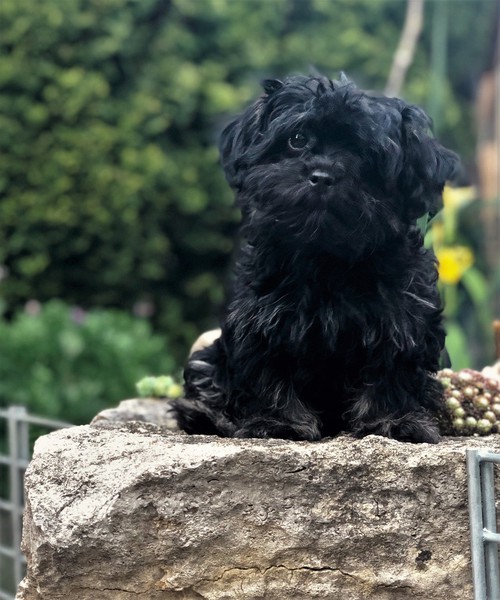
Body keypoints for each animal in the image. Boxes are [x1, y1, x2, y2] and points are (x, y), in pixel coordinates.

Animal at [173, 73, 459, 443]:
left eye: (366, 153)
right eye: (297, 139)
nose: (322, 175)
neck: (327, 256)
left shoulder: (404, 317)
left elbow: (393, 369)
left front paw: (393, 420)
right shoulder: (262, 321)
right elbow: (269, 369)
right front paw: (279, 422)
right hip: (210, 354)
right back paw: (208, 416)